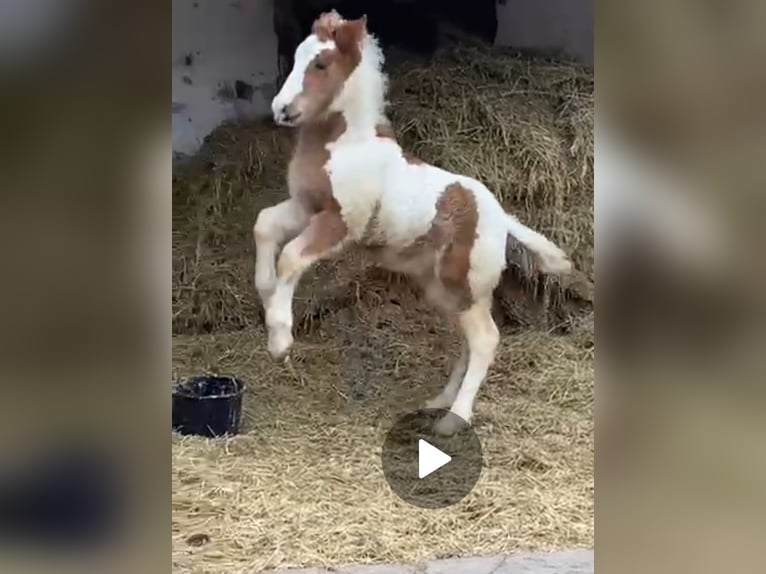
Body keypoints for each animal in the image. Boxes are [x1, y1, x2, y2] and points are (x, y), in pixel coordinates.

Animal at [253, 10, 572, 435]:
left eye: (320, 64)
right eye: (295, 56)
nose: (282, 109)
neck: (346, 145)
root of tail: (502, 218)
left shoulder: (340, 223)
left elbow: (290, 256)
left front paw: (280, 340)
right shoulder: (306, 209)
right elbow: (264, 225)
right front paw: (266, 293)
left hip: (464, 287)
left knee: (486, 340)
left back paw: (454, 419)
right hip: (445, 292)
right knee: (467, 343)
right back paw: (439, 401)